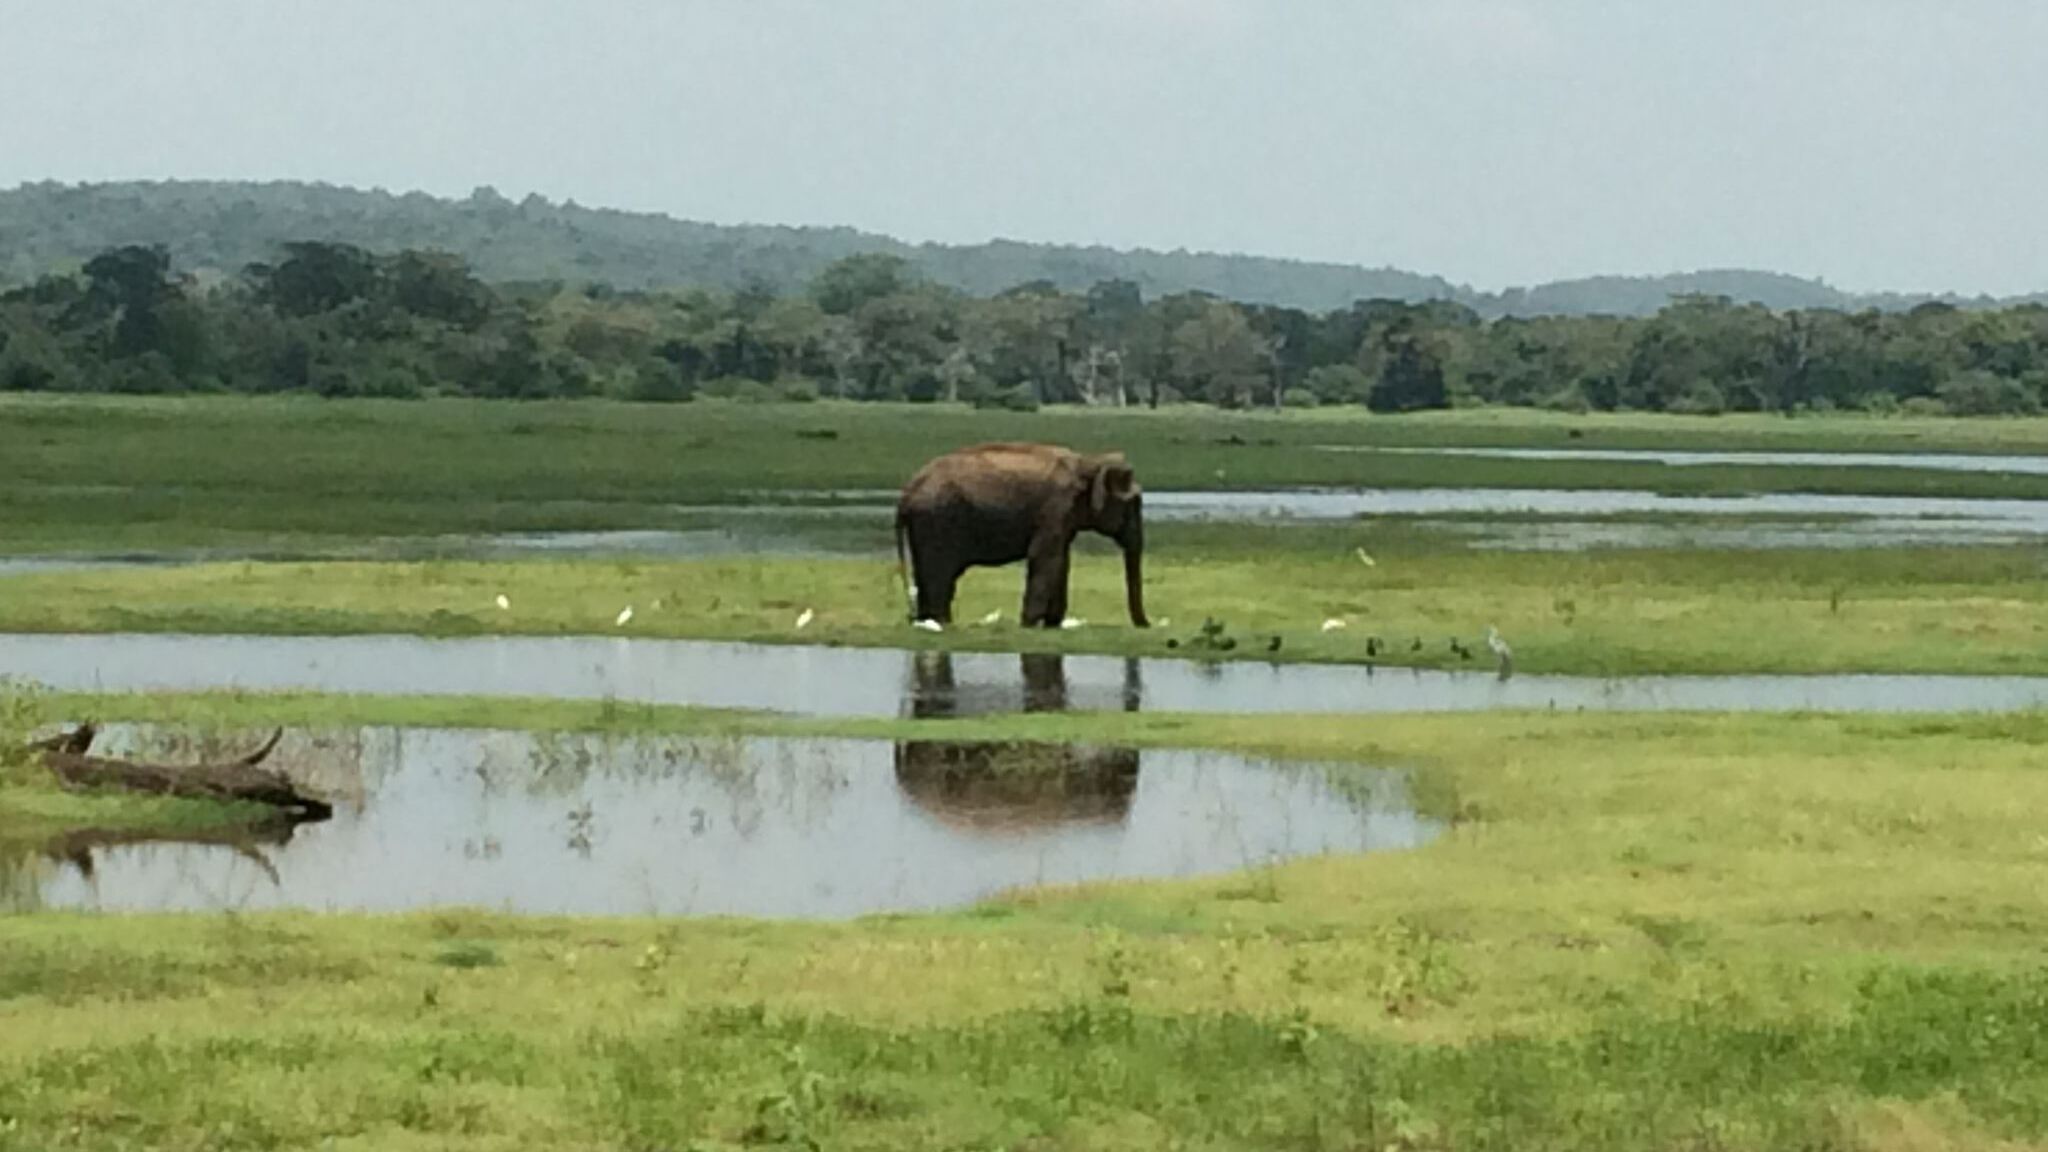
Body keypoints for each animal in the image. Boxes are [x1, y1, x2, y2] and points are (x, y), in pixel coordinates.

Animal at [897, 444, 1155, 631]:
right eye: (1134, 503)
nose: (1147, 625)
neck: (1088, 461)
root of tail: (907, 492)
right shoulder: (1054, 508)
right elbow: (1046, 558)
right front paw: (1030, 625)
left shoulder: (1062, 516)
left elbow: (1061, 560)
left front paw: (1052, 624)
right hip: (936, 521)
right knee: (939, 574)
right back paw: (942, 623)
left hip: (926, 524)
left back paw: (928, 622)